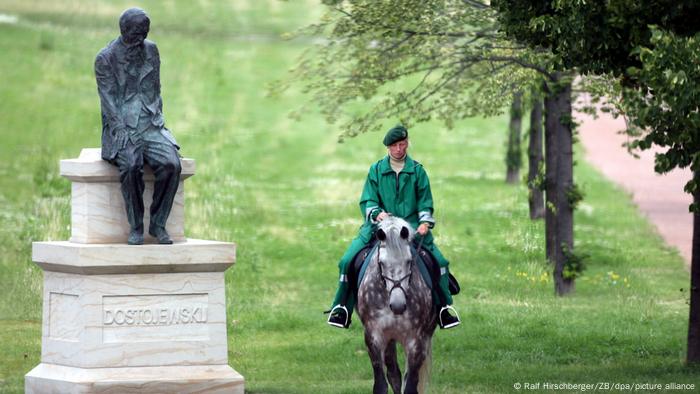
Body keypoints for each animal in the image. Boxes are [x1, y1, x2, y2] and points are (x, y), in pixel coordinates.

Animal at [358, 215, 434, 394]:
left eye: (409, 261)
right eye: (382, 263)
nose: (398, 305)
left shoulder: (417, 341)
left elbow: (411, 385)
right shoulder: (373, 337)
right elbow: (381, 384)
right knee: (394, 373)